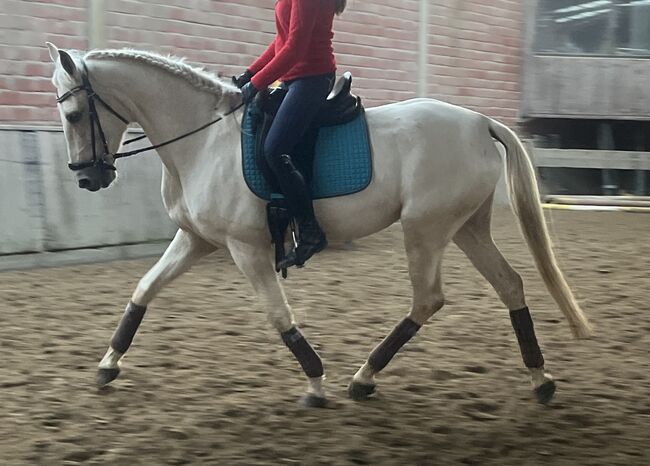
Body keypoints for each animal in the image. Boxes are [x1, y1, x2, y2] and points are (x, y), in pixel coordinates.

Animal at [48, 43, 588, 408]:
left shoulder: (246, 248)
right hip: (465, 227)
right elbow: (143, 289)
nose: (89, 178)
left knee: (428, 299)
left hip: (426, 229)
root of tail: (479, 121)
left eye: (72, 114)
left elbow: (278, 315)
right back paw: (540, 380)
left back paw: (364, 377)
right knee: (510, 284)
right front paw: (107, 366)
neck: (203, 141)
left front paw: (314, 381)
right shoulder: (197, 240)